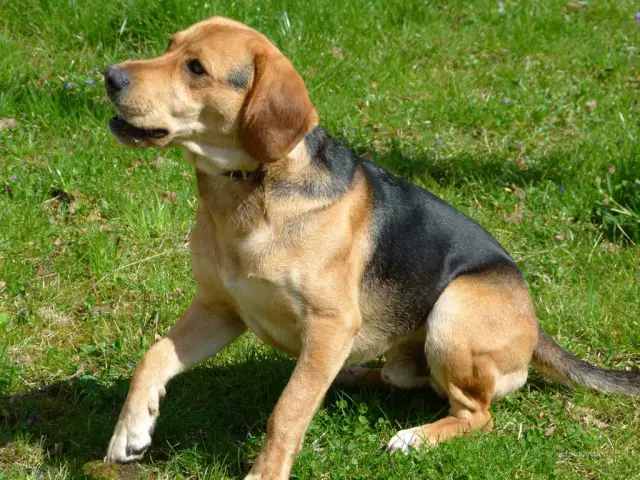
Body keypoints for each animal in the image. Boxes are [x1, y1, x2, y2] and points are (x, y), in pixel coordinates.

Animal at [102, 15, 636, 480]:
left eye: (196, 68)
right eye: (169, 46)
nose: (108, 76)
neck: (250, 188)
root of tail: (535, 326)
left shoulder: (330, 322)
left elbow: (287, 410)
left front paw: (265, 473)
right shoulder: (219, 308)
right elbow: (153, 355)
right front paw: (130, 431)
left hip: (454, 310)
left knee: (475, 414)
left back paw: (415, 437)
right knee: (394, 377)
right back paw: (351, 375)